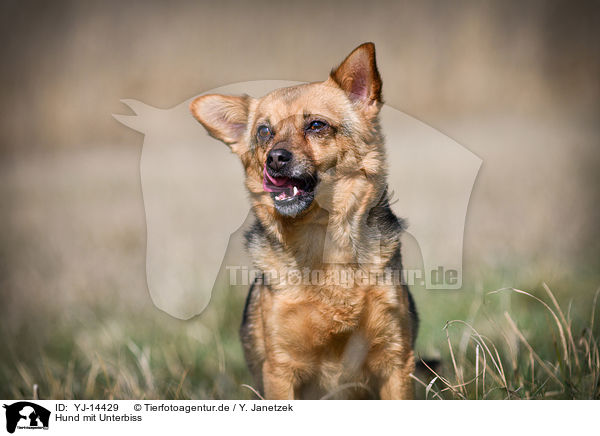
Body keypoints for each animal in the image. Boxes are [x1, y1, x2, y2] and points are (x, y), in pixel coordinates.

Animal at [191, 43, 418, 398]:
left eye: (316, 126)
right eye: (264, 131)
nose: (274, 159)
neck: (320, 236)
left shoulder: (396, 360)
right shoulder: (280, 369)